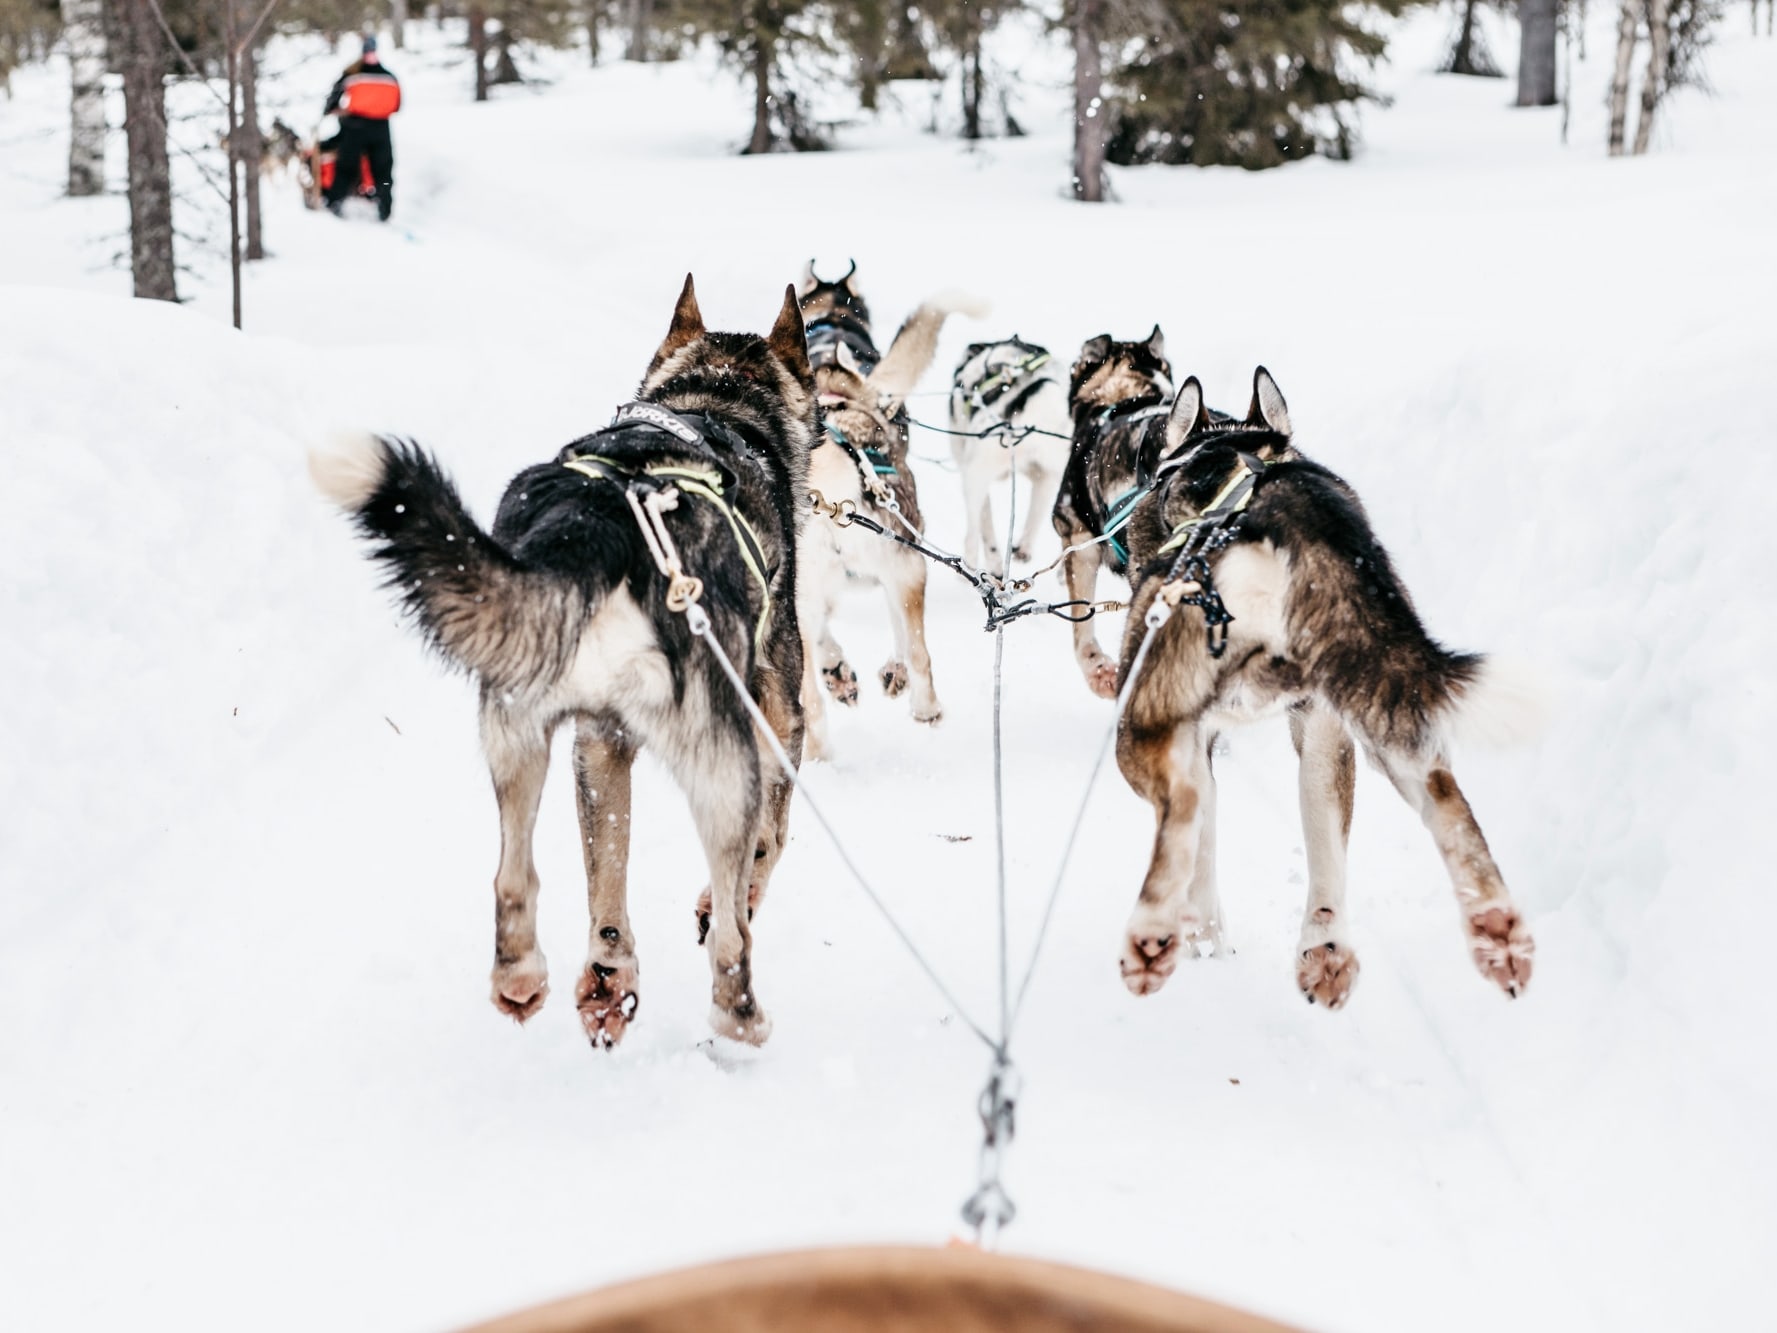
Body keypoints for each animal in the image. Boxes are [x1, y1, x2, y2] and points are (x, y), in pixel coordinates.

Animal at [314, 279, 817, 1052]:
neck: (716, 399)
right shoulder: (781, 719)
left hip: (530, 731)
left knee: (518, 879)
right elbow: (767, 848)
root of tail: (602, 520)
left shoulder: (599, 743)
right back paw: (741, 1015)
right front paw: (731, 901)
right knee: (732, 941)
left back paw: (561, 980)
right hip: (723, 764)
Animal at [796, 261, 980, 760]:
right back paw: (924, 707)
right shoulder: (904, 562)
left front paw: (838, 670)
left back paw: (818, 750)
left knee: (807, 695)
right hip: (906, 557)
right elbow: (903, 633)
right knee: (918, 652)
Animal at [1115, 366, 1535, 1009]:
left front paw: (1204, 935)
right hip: (1368, 702)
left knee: (1183, 805)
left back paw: (1153, 939)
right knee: (1433, 802)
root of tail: (1284, 517)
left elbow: (1202, 841)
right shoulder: (1313, 723)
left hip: (1147, 715)